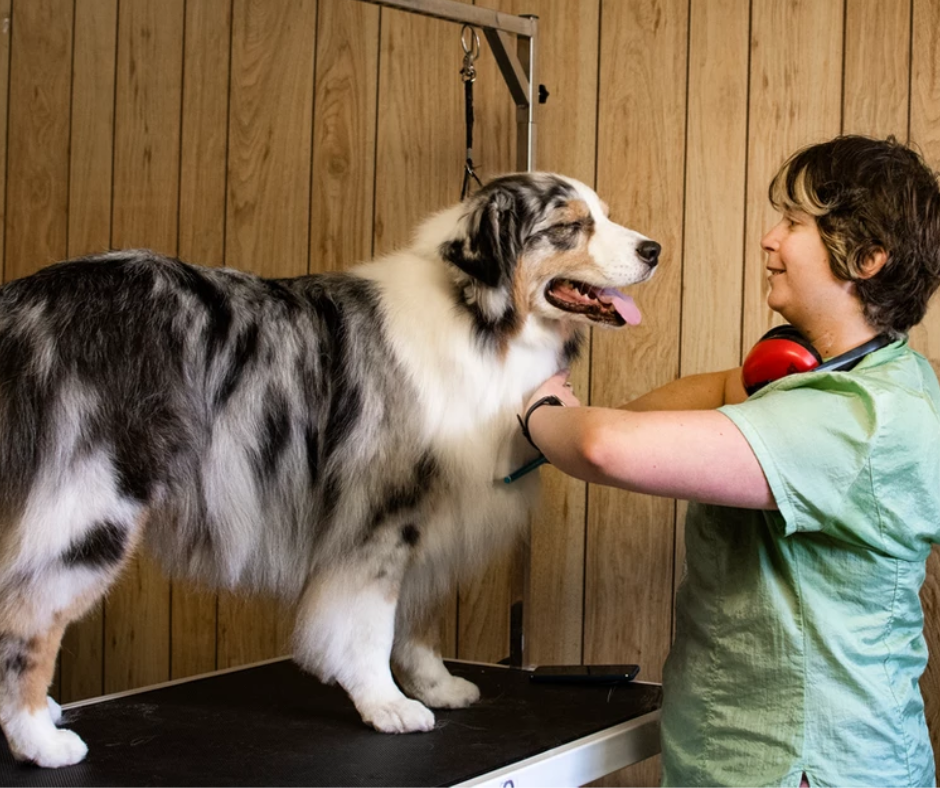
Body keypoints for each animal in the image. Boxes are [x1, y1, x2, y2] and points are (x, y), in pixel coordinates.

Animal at [0, 171, 656, 764]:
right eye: (569, 225)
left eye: (604, 213)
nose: (654, 249)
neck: (476, 319)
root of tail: (25, 305)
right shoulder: (382, 512)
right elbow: (367, 625)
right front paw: (387, 704)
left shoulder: (432, 517)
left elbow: (416, 620)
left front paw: (436, 686)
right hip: (91, 506)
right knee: (25, 617)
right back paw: (39, 739)